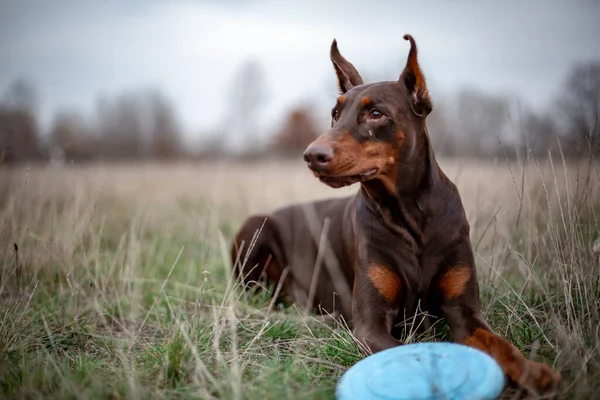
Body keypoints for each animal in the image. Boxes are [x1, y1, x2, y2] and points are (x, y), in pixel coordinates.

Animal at [230, 35, 564, 396]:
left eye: (376, 113)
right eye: (335, 114)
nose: (312, 155)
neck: (409, 216)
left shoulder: (463, 312)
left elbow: (499, 343)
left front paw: (535, 372)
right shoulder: (371, 325)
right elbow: (406, 352)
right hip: (255, 228)